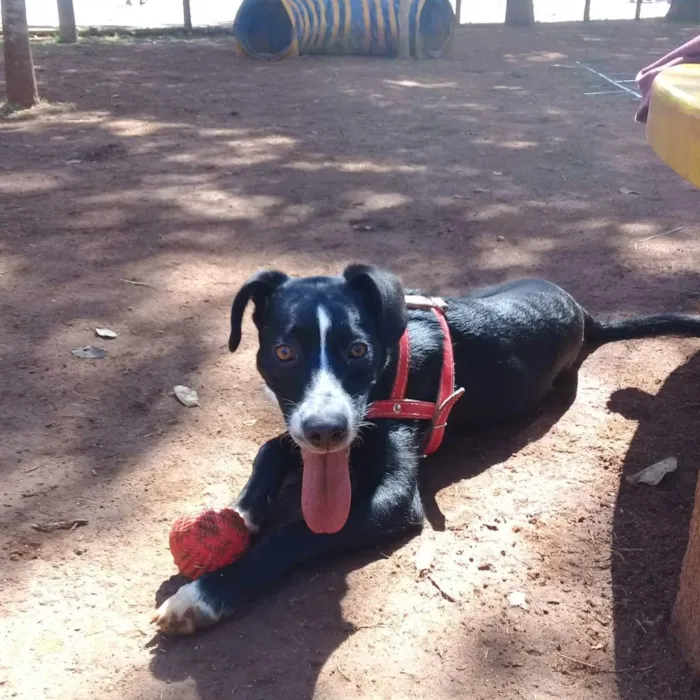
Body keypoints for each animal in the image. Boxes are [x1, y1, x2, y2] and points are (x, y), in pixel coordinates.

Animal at [152, 264, 700, 636]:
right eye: (283, 352)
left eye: (358, 350)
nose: (327, 431)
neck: (388, 366)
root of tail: (585, 314)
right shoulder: (308, 432)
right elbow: (270, 448)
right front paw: (242, 510)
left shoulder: (393, 499)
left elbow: (296, 532)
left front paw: (206, 593)